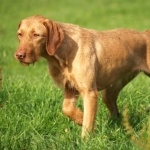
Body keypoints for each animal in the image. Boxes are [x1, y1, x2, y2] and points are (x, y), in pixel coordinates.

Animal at [14, 14, 150, 137]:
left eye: (36, 35)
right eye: (20, 34)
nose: (19, 55)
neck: (64, 52)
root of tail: (145, 33)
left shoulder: (90, 92)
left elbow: (88, 123)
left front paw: (85, 141)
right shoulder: (70, 88)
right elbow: (67, 109)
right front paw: (79, 118)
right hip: (109, 92)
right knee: (115, 111)